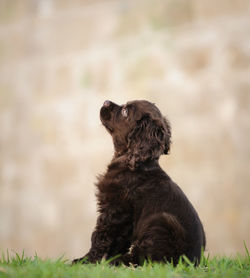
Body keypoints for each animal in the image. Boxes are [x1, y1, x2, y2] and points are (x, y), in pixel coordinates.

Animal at [73, 101, 206, 266]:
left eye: (125, 112)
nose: (105, 102)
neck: (133, 162)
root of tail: (193, 262)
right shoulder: (124, 219)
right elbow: (117, 242)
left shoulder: (115, 210)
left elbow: (100, 237)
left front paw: (85, 261)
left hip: (161, 222)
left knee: (148, 258)